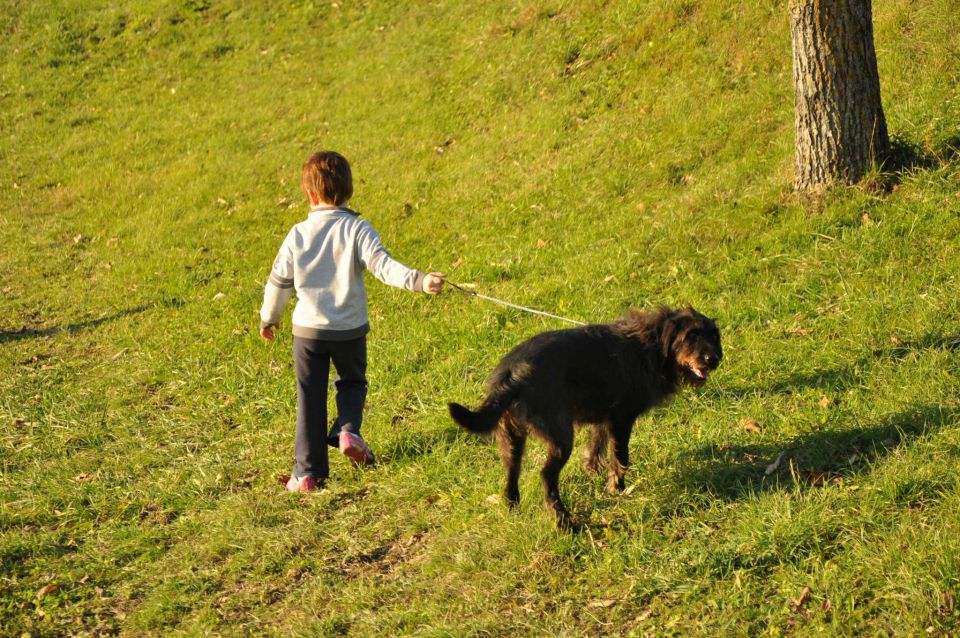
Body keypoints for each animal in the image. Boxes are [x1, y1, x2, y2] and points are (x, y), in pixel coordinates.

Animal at [450, 308, 720, 532]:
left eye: (713, 336)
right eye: (690, 336)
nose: (713, 359)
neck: (651, 345)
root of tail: (510, 375)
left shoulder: (605, 417)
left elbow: (596, 444)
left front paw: (593, 470)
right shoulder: (622, 418)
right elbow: (621, 457)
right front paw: (617, 489)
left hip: (511, 437)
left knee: (511, 472)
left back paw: (513, 507)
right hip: (560, 436)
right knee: (546, 476)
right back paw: (564, 521)